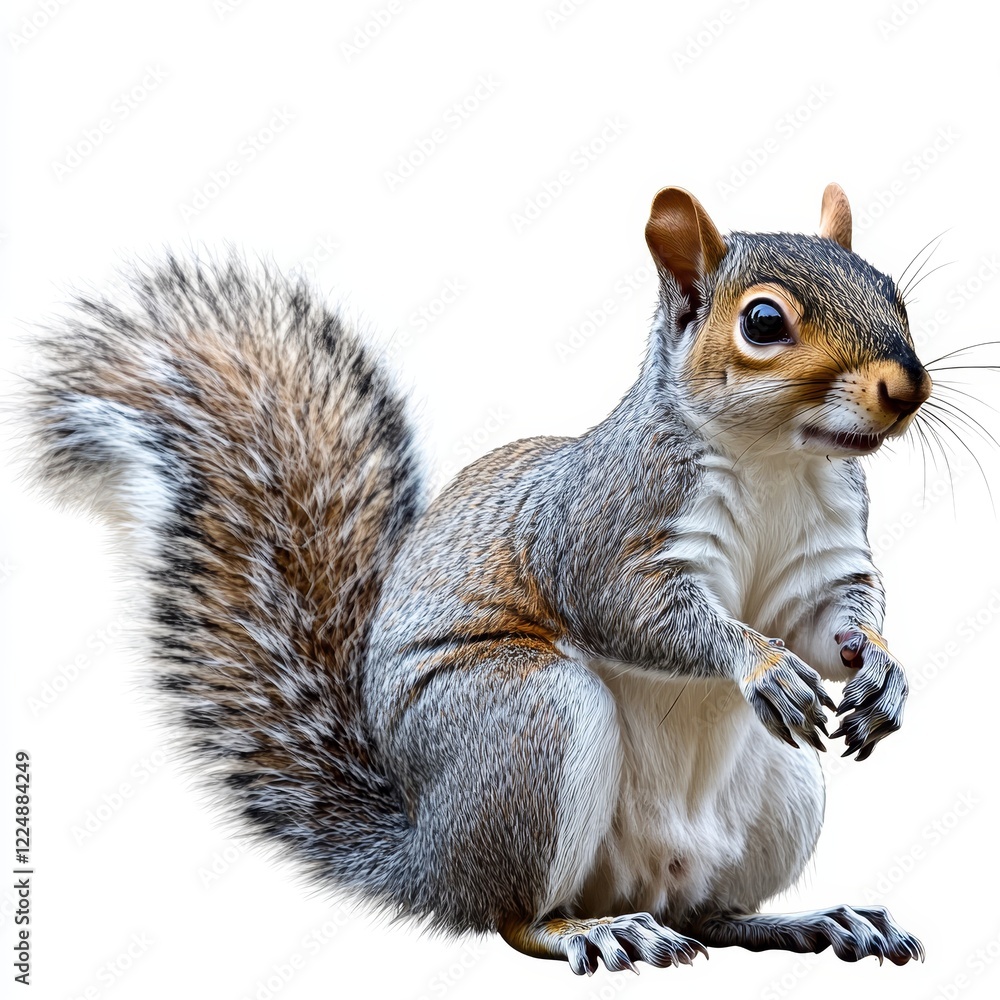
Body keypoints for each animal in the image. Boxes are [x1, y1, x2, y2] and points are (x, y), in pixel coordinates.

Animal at [22, 182, 930, 975]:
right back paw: (595, 934)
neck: (779, 460)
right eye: (764, 321)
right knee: (515, 917)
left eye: (893, 292)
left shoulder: (826, 553)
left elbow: (832, 619)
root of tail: (429, 856)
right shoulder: (600, 526)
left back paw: (814, 920)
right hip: (526, 721)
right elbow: (634, 611)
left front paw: (883, 670)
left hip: (781, 790)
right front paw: (761, 662)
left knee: (709, 914)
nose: (907, 386)